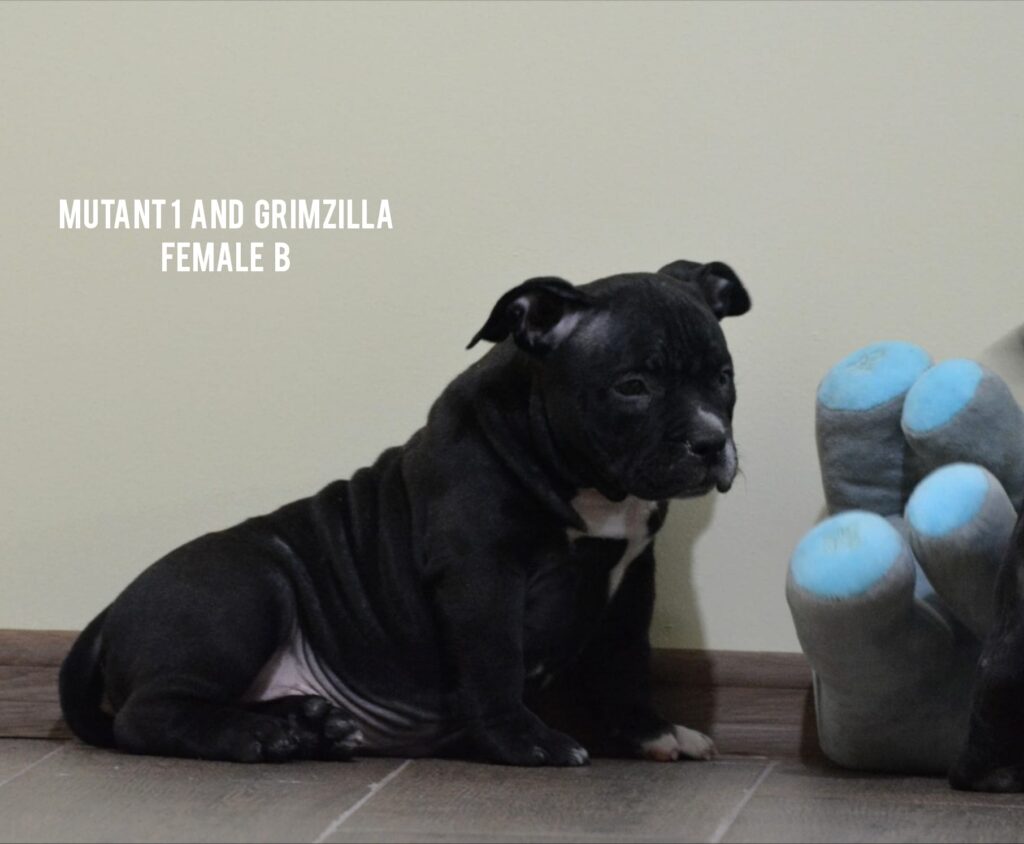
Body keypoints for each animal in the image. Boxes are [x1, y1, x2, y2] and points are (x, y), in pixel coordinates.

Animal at [59, 259, 750, 766]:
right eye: (633, 386)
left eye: (723, 377)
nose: (710, 441)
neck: (591, 486)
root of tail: (107, 616)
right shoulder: (480, 575)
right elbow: (495, 663)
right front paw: (526, 742)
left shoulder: (633, 580)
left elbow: (627, 665)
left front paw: (653, 734)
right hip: (248, 586)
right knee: (150, 714)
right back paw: (256, 737)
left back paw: (309, 726)